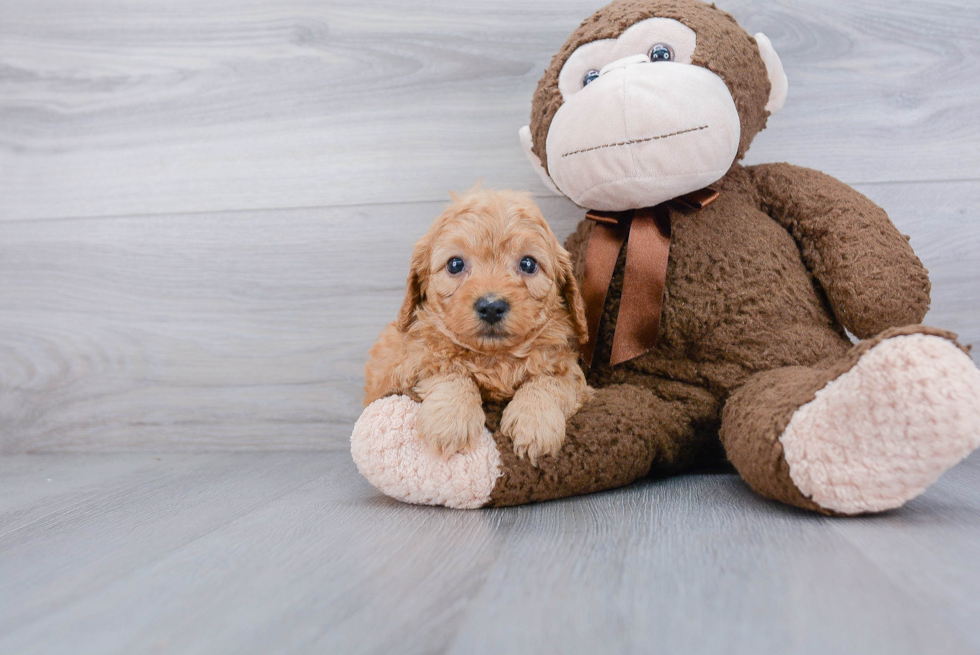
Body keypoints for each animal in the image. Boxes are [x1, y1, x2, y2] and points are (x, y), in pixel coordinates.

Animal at [362, 188, 584, 466]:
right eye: (455, 264)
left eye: (528, 264)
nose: (491, 307)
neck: (493, 358)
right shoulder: (412, 362)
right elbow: (449, 370)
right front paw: (451, 420)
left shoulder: (569, 370)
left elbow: (549, 381)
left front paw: (535, 421)